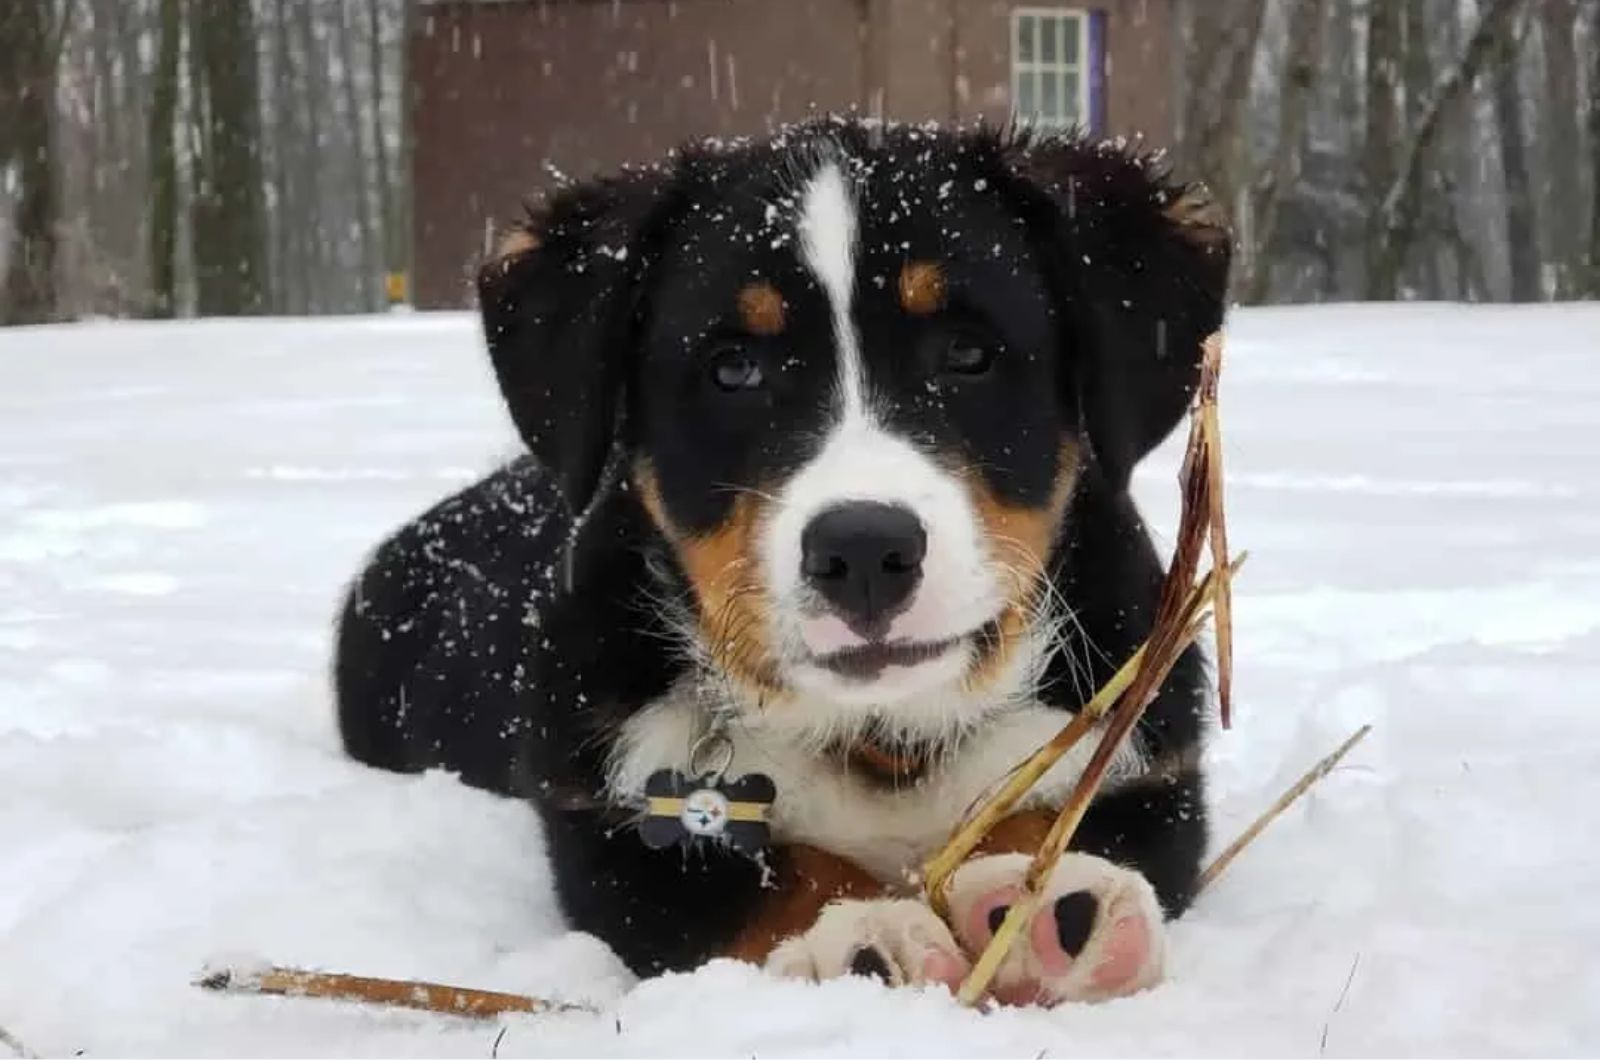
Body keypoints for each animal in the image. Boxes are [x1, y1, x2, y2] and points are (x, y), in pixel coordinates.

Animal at [337, 120, 1228, 1011]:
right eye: (733, 368)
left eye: (969, 353)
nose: (864, 550)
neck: (882, 738)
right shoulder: (606, 816)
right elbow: (760, 876)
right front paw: (854, 934)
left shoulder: (1150, 761)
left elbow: (1063, 806)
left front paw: (1049, 902)